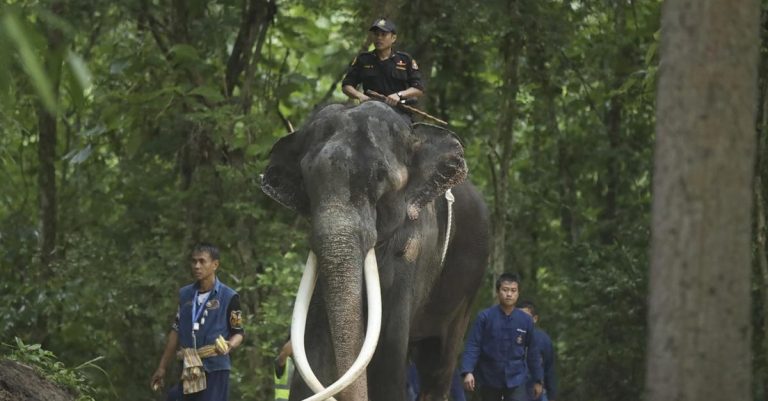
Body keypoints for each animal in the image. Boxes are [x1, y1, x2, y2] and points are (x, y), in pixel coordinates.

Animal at [260, 101, 488, 400]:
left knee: (438, 361)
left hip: (468, 286)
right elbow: (315, 338)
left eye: (380, 176)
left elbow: (388, 344)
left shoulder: (416, 246)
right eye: (306, 178)